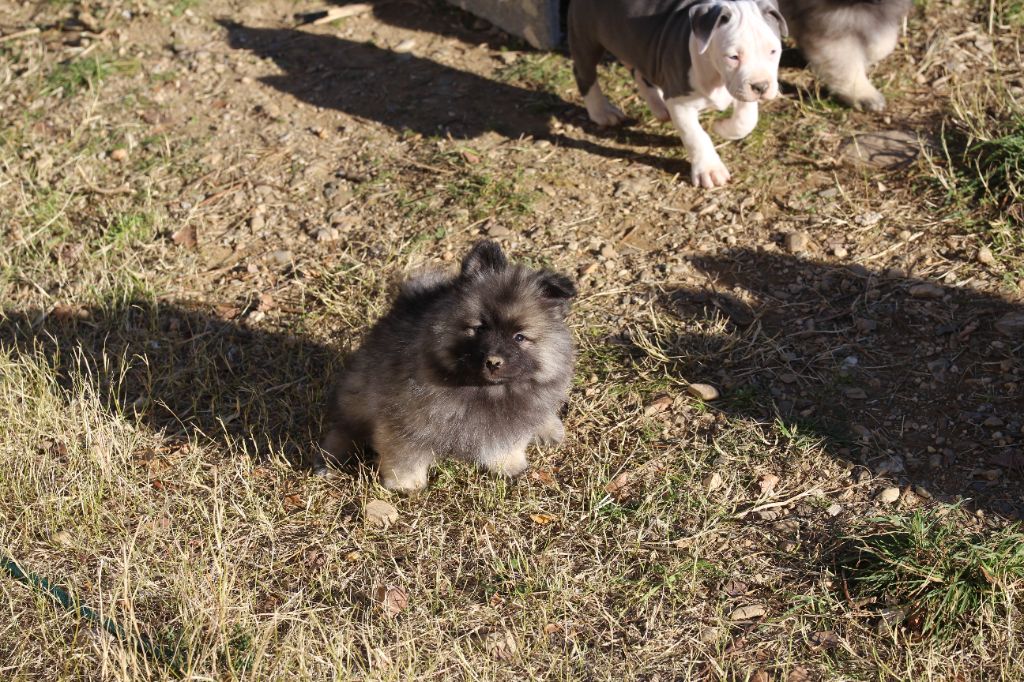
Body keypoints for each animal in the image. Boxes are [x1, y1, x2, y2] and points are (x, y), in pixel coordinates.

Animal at [317, 238, 577, 489]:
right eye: (480, 328)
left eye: (519, 337)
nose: (493, 361)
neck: (483, 390)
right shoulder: (406, 422)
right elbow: (405, 455)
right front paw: (405, 484)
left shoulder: (511, 421)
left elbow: (505, 443)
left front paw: (509, 465)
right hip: (358, 395)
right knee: (345, 427)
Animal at [569, 0, 782, 187]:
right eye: (733, 57)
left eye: (773, 51)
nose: (761, 87)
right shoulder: (681, 103)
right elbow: (695, 135)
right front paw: (709, 169)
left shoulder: (741, 87)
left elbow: (747, 119)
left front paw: (722, 128)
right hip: (586, 38)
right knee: (584, 73)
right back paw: (602, 112)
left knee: (638, 71)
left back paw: (659, 107)